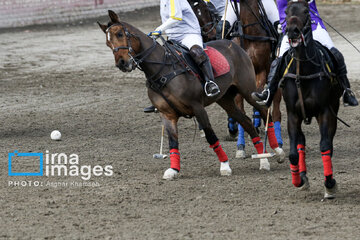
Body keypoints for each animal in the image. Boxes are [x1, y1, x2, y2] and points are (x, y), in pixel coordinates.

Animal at [98, 10, 284, 179]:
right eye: (107, 43)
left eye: (120, 34)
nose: (122, 63)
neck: (162, 71)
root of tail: (235, 45)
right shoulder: (167, 114)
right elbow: (173, 142)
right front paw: (173, 170)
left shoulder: (197, 107)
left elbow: (210, 136)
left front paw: (224, 166)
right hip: (225, 99)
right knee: (246, 122)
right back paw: (263, 159)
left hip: (248, 90)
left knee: (264, 111)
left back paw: (278, 150)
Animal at [280, 0, 342, 199]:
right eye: (286, 11)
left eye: (307, 11)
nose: (292, 31)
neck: (303, 71)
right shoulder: (292, 114)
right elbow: (293, 153)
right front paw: (298, 180)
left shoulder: (324, 111)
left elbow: (325, 146)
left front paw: (330, 185)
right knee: (300, 141)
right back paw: (302, 175)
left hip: (333, 108)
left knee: (328, 141)